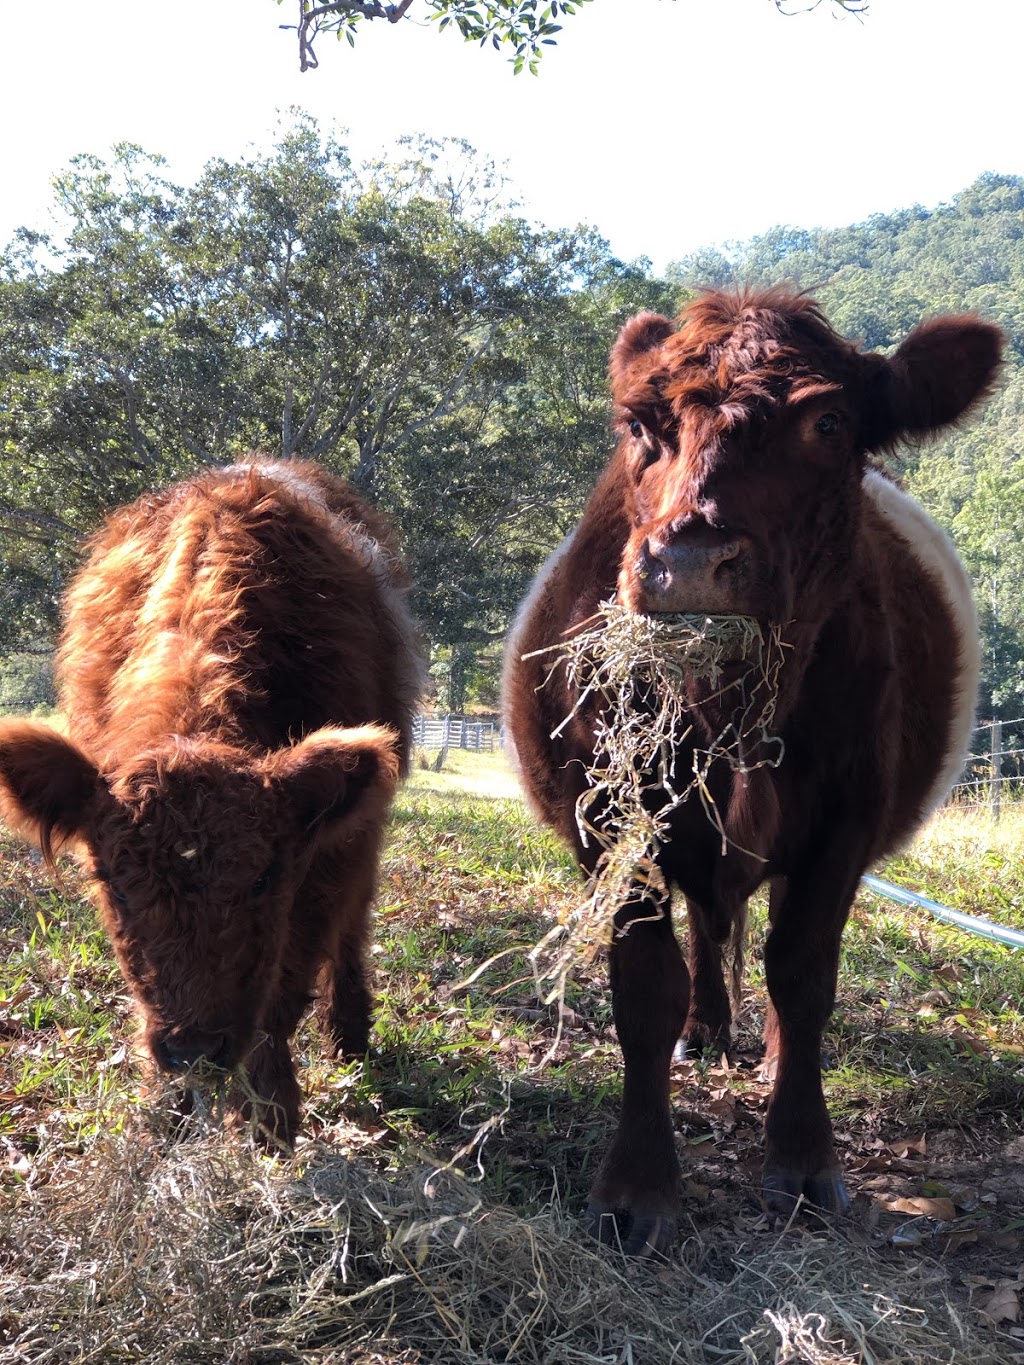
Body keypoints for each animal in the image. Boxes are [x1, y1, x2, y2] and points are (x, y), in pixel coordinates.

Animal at [502, 288, 1004, 1255]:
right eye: (640, 424)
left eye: (830, 422)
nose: (689, 562)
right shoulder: (614, 826)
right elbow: (644, 987)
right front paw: (637, 1186)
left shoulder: (846, 820)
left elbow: (803, 975)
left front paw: (804, 1158)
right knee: (708, 924)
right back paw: (704, 1031)